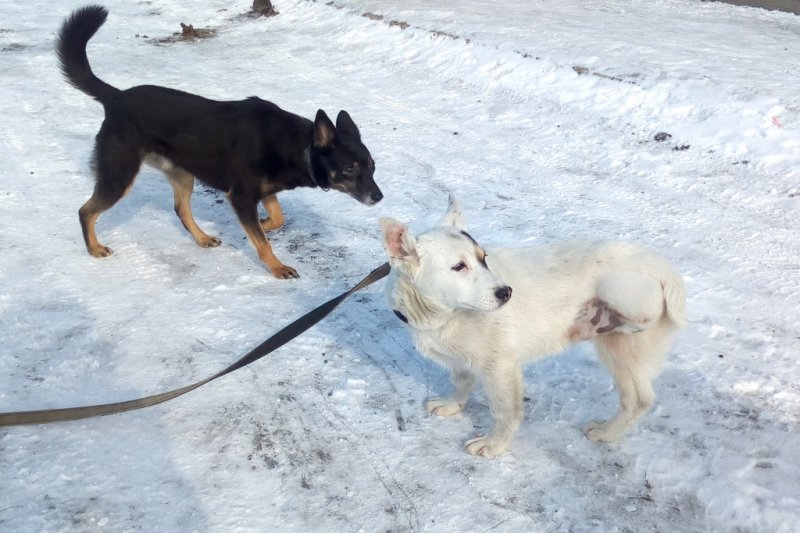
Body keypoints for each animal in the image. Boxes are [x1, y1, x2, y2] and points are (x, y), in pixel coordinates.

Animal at [56, 6, 382, 278]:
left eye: (372, 166)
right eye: (350, 169)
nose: (379, 197)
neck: (297, 146)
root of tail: (116, 97)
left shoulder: (260, 193)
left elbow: (277, 219)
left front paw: (264, 225)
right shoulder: (242, 195)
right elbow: (263, 241)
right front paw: (276, 266)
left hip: (182, 173)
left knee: (181, 210)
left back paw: (202, 238)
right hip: (120, 176)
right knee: (86, 211)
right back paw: (94, 248)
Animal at [382, 197, 688, 456]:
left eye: (483, 258)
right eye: (459, 266)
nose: (506, 293)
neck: (447, 315)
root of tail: (662, 268)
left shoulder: (500, 369)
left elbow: (505, 411)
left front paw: (494, 445)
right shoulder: (462, 361)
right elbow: (460, 384)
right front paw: (452, 405)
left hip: (621, 315)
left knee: (638, 398)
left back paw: (605, 431)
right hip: (617, 350)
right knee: (637, 399)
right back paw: (608, 432)